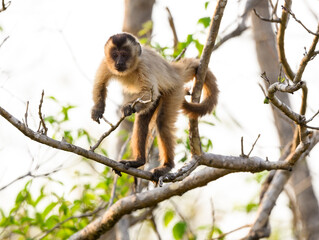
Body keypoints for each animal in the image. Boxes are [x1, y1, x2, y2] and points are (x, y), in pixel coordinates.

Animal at [91, 32, 219, 181]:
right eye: (115, 55)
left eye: (124, 54)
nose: (119, 63)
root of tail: (174, 70)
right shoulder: (106, 62)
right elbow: (100, 84)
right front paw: (97, 109)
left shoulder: (144, 65)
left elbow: (147, 91)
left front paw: (127, 108)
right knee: (143, 118)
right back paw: (138, 161)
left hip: (174, 90)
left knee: (162, 122)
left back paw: (167, 166)